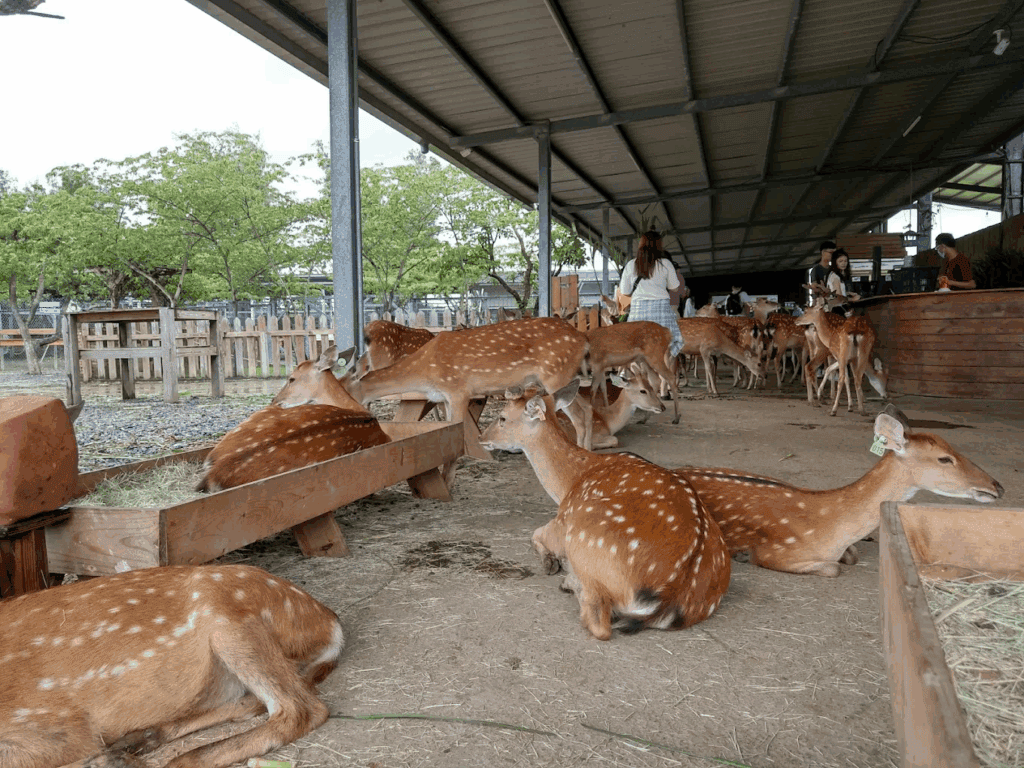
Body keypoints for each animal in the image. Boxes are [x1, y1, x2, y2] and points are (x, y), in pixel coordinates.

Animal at [0, 563, 344, 768]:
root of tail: (331, 621)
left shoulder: (57, 724)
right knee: (253, 702)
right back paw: (134, 742)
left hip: (228, 616)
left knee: (301, 709)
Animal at [344, 316, 593, 457]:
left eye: (343, 392)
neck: (426, 372)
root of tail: (583, 339)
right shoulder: (443, 397)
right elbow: (445, 424)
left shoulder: (457, 390)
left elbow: (455, 426)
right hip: (564, 378)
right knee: (587, 407)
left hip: (555, 374)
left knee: (579, 416)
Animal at [479, 381, 731, 640]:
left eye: (502, 417)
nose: (481, 437)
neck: (568, 483)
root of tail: (671, 594)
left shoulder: (561, 522)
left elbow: (534, 534)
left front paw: (551, 563)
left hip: (583, 532)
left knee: (599, 622)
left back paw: (570, 581)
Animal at [673, 407, 1004, 577]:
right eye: (944, 459)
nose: (997, 486)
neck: (830, 527)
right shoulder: (778, 552)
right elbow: (833, 569)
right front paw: (744, 555)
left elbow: (851, 557)